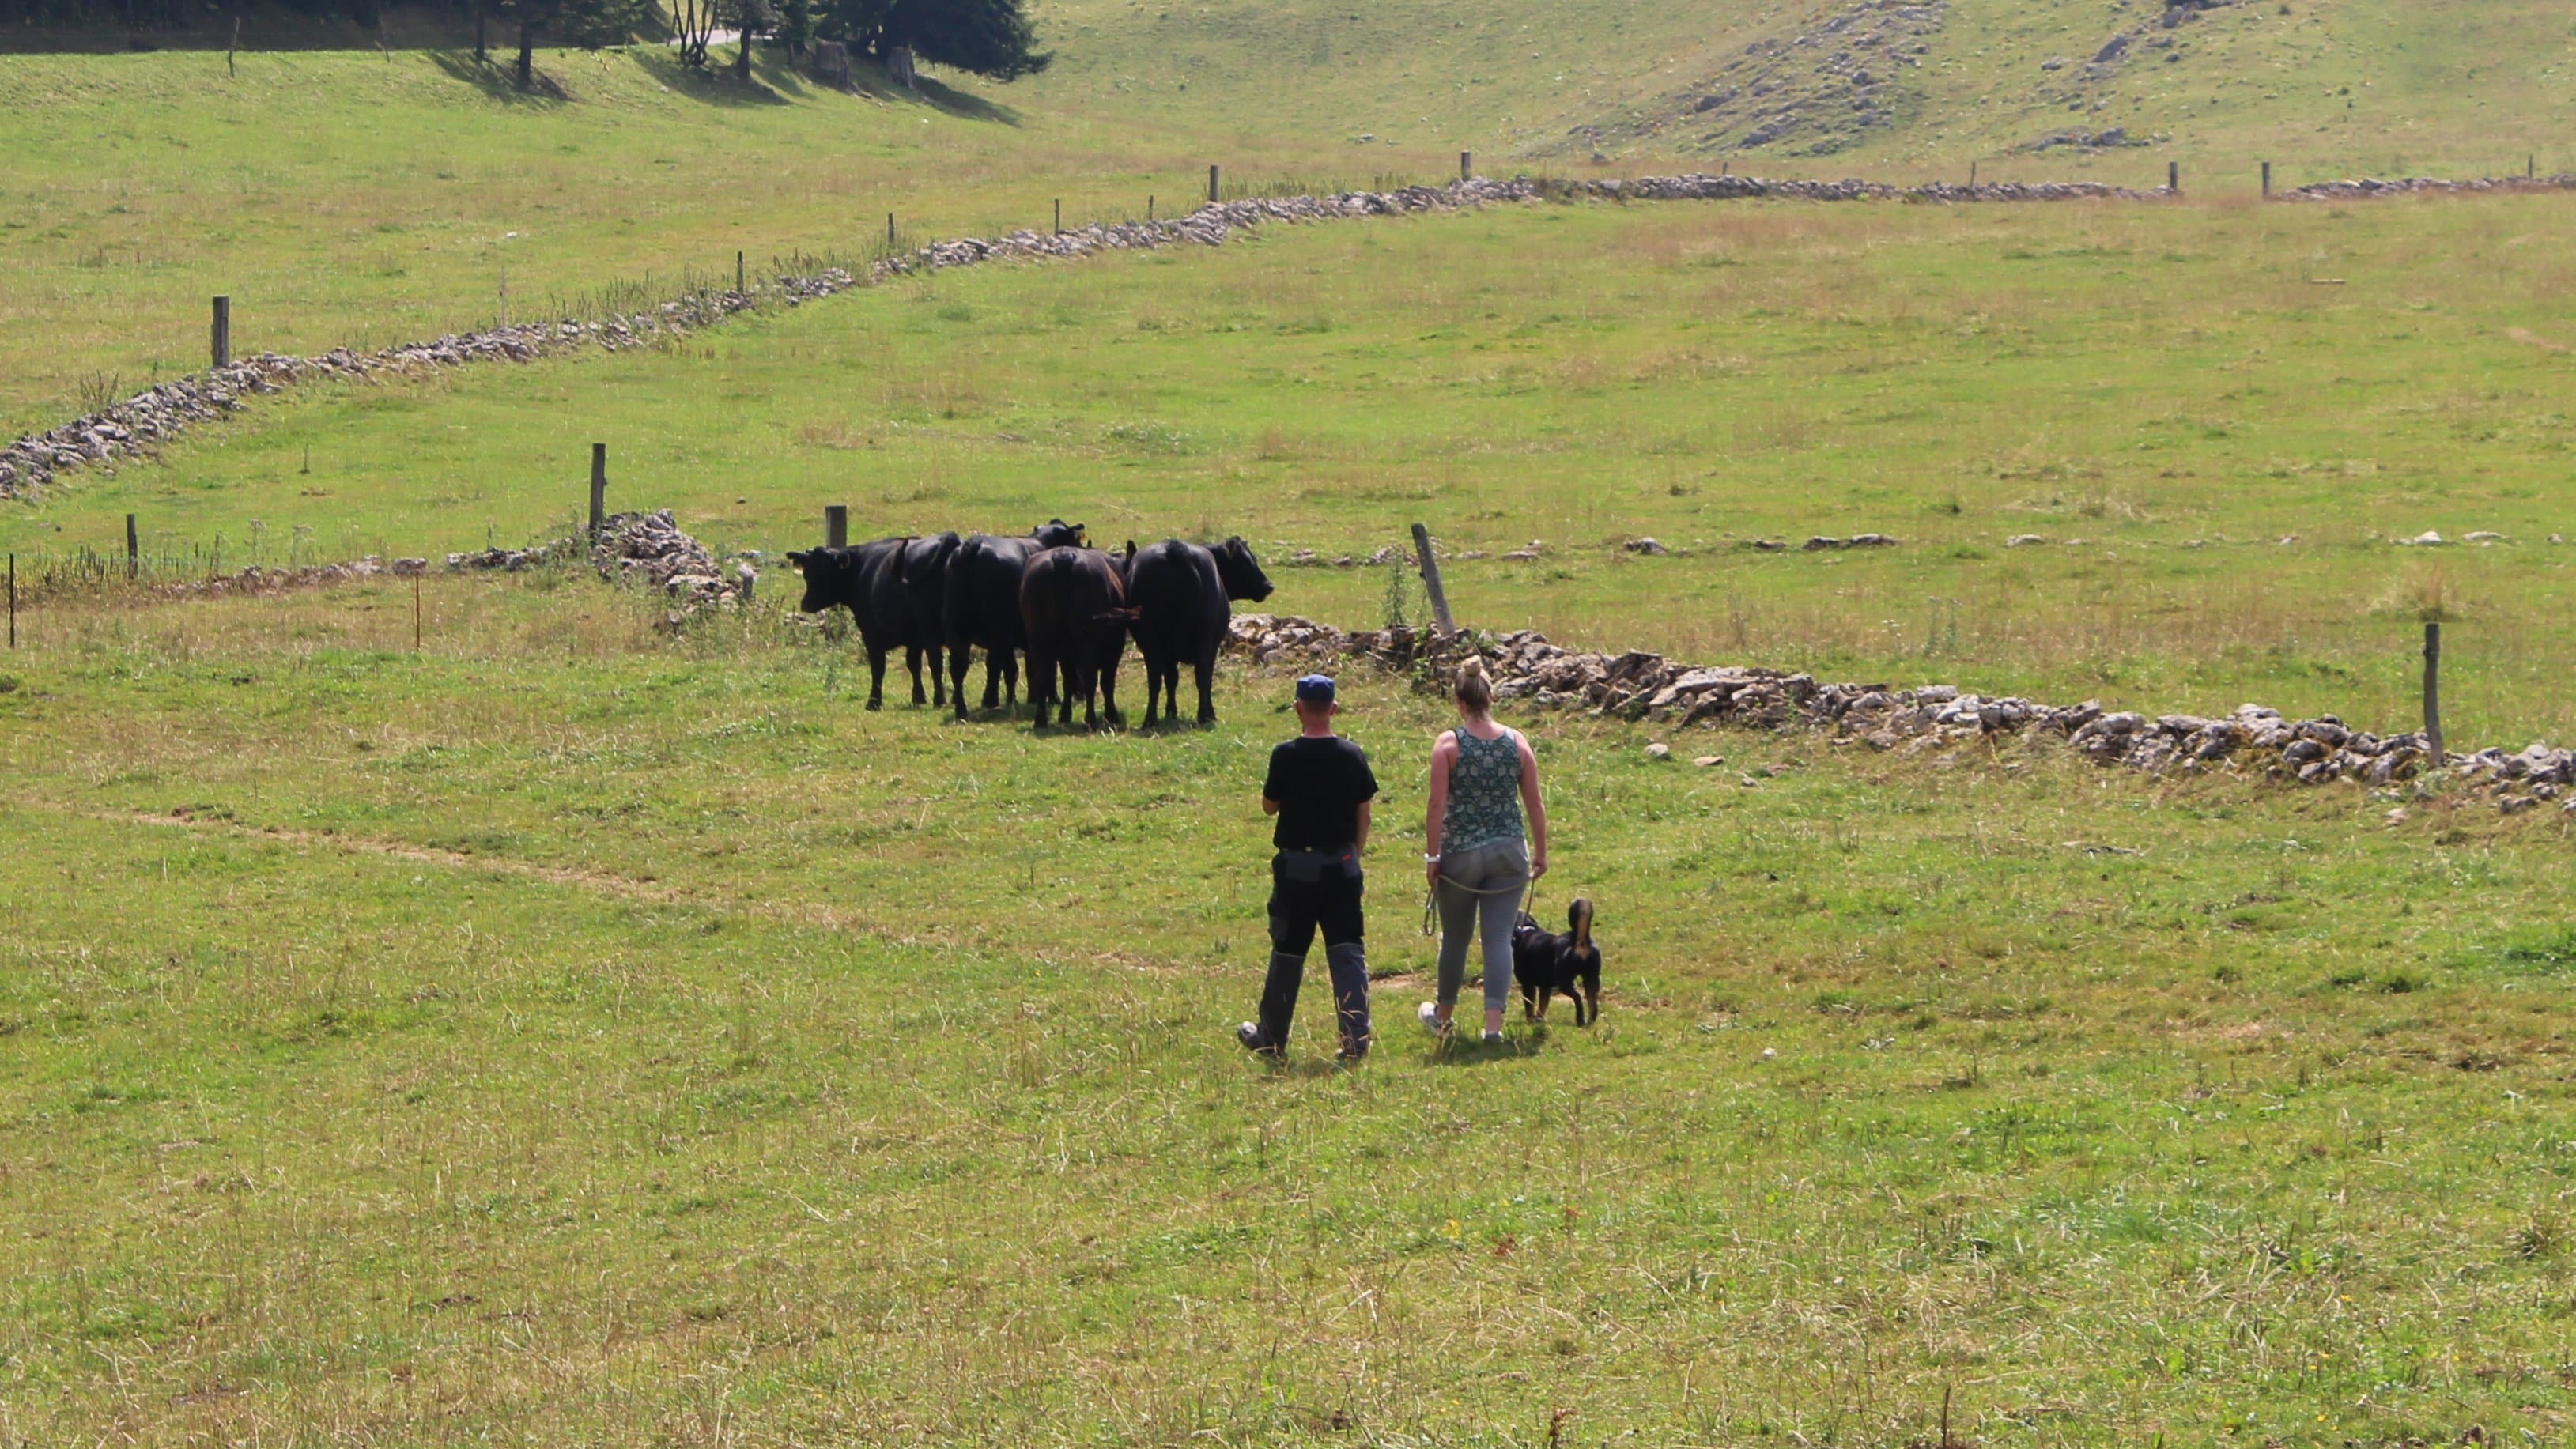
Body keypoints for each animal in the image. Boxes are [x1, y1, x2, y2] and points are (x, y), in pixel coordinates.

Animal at [942, 525, 1082, 720]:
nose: (1081, 694)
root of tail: (973, 545)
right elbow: (1045, 668)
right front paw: (1049, 698)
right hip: (997, 632)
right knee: (996, 665)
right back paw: (996, 702)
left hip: (958, 633)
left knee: (960, 668)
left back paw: (963, 710)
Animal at [1020, 545, 1133, 730]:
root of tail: (1063, 554)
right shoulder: (1115, 648)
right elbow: (1107, 682)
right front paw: (1111, 715)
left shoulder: (1066, 655)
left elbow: (1069, 681)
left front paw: (1064, 715)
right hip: (1086, 642)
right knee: (1090, 678)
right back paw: (1091, 720)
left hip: (1039, 640)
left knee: (1043, 676)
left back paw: (1041, 720)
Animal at [1133, 535, 1282, 726]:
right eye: (1247, 562)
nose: (1268, 586)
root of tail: (1176, 549)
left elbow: (1172, 679)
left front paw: (1171, 713)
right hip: (1203, 637)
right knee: (1202, 674)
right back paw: (1206, 715)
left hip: (1151, 640)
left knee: (1156, 677)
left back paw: (1150, 719)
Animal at [1504, 900, 1596, 1024]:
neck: (1525, 930)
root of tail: (1580, 941)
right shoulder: (1545, 986)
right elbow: (1543, 1005)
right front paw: (1539, 1020)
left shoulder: (1528, 984)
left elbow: (1530, 1005)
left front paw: (1531, 1021)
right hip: (1592, 978)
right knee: (1593, 1003)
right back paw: (1590, 1022)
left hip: (1565, 982)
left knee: (1578, 997)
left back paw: (1580, 1020)